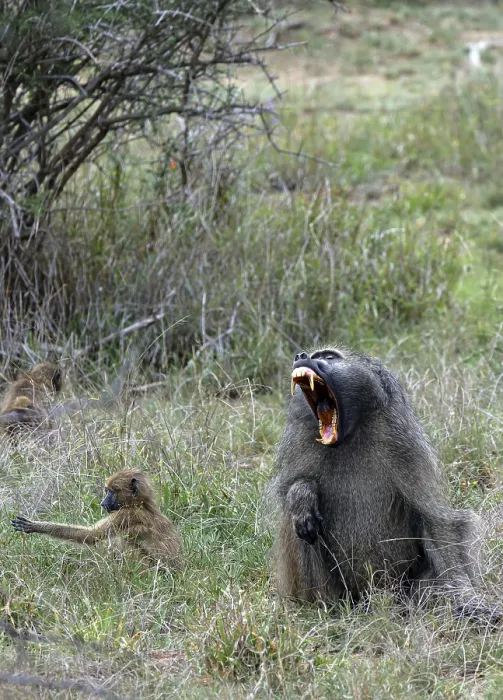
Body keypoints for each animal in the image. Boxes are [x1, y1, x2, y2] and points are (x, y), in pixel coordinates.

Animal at [11, 470, 183, 571]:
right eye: (107, 491)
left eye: (112, 491)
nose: (102, 503)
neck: (143, 505)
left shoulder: (124, 515)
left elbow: (91, 535)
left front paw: (36, 526)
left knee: (127, 539)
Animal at [270, 346, 500, 622]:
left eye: (328, 356)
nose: (300, 356)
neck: (350, 435)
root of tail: (371, 599)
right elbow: (290, 492)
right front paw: (301, 496)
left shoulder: (403, 443)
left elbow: (434, 520)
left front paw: (467, 599)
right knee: (298, 527)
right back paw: (325, 610)